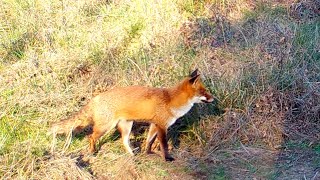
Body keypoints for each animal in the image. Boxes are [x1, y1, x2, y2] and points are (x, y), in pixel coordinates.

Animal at [50, 69, 214, 161]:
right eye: (204, 92)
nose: (213, 98)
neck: (171, 101)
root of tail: (95, 98)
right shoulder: (162, 126)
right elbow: (164, 145)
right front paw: (167, 158)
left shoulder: (154, 124)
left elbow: (148, 141)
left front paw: (148, 153)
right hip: (105, 127)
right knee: (90, 137)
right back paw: (92, 152)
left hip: (127, 126)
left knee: (124, 142)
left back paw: (132, 155)